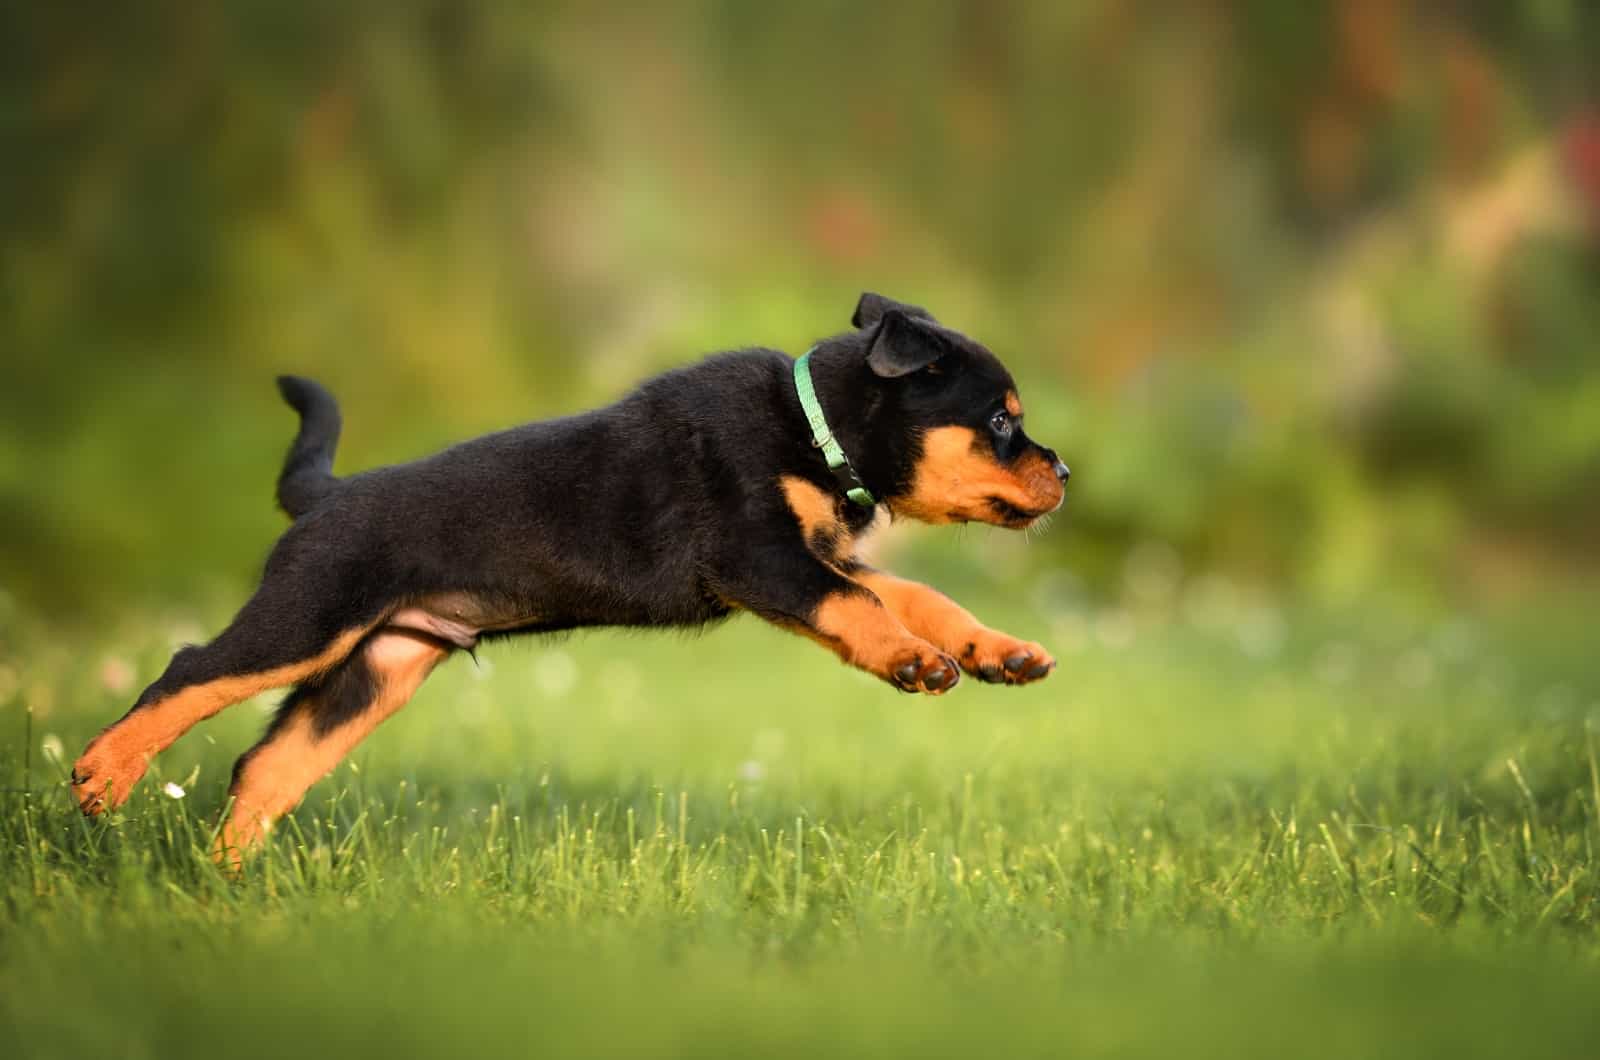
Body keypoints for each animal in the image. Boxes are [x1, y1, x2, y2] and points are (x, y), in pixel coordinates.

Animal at [75, 294, 1075, 858]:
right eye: (999, 421)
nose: (1064, 471)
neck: (818, 428)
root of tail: (330, 495)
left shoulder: (814, 553)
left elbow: (911, 594)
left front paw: (1000, 651)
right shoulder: (763, 556)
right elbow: (863, 604)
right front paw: (914, 663)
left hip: (379, 667)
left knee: (265, 765)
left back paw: (225, 884)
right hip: (310, 615)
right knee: (189, 671)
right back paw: (101, 777)